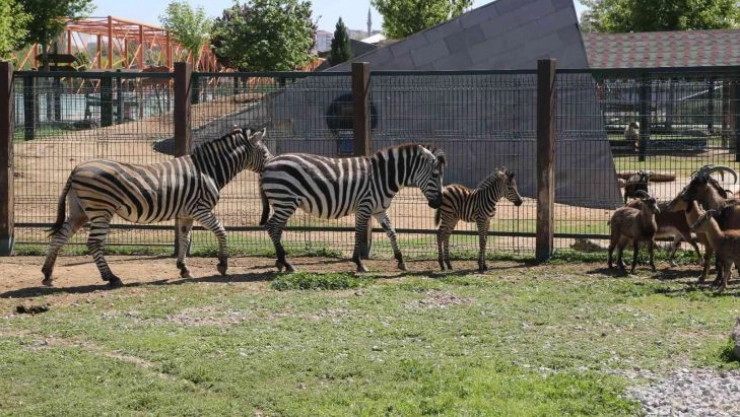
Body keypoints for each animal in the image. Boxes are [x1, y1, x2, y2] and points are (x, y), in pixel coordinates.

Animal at [41, 127, 273, 287]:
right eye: (264, 153)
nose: (271, 165)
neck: (209, 170)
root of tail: (76, 169)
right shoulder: (201, 209)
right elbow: (221, 231)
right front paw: (223, 264)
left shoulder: (187, 213)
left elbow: (185, 239)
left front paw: (183, 268)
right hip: (101, 209)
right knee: (94, 243)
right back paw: (111, 277)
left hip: (79, 210)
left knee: (60, 236)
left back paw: (47, 273)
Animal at [259, 143, 446, 273]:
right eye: (435, 175)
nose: (438, 203)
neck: (382, 177)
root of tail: (268, 164)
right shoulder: (365, 206)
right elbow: (359, 232)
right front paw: (359, 263)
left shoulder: (379, 210)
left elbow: (392, 232)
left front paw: (401, 261)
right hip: (285, 200)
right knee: (272, 227)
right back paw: (286, 263)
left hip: (283, 203)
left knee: (276, 228)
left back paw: (281, 262)